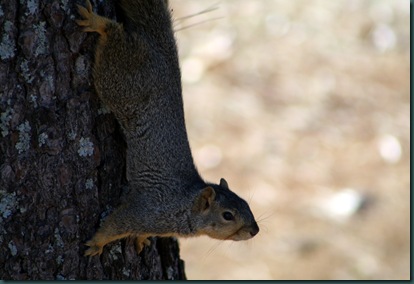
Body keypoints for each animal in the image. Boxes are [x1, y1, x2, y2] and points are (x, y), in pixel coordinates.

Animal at [76, 0, 258, 256]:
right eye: (227, 215)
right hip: (121, 81)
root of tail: (164, 54)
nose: (255, 231)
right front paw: (97, 243)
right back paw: (98, 23)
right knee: (116, 35)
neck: (184, 206)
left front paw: (141, 239)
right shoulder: (146, 211)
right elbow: (115, 225)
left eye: (247, 204)